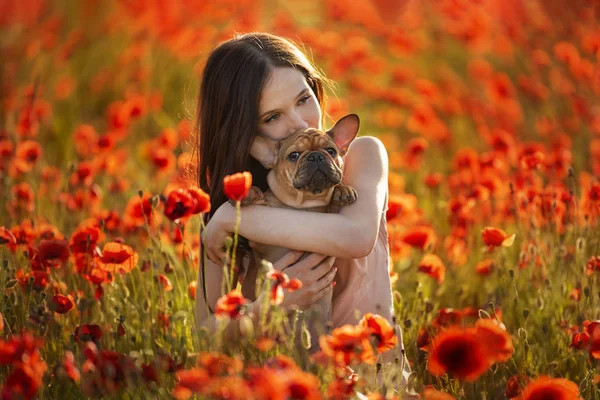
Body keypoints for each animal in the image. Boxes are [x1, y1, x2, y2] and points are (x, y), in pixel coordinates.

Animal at [240, 112, 360, 350]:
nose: (316, 157)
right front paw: (248, 192)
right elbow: (259, 199)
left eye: (331, 150)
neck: (302, 204)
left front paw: (342, 190)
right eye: (294, 155)